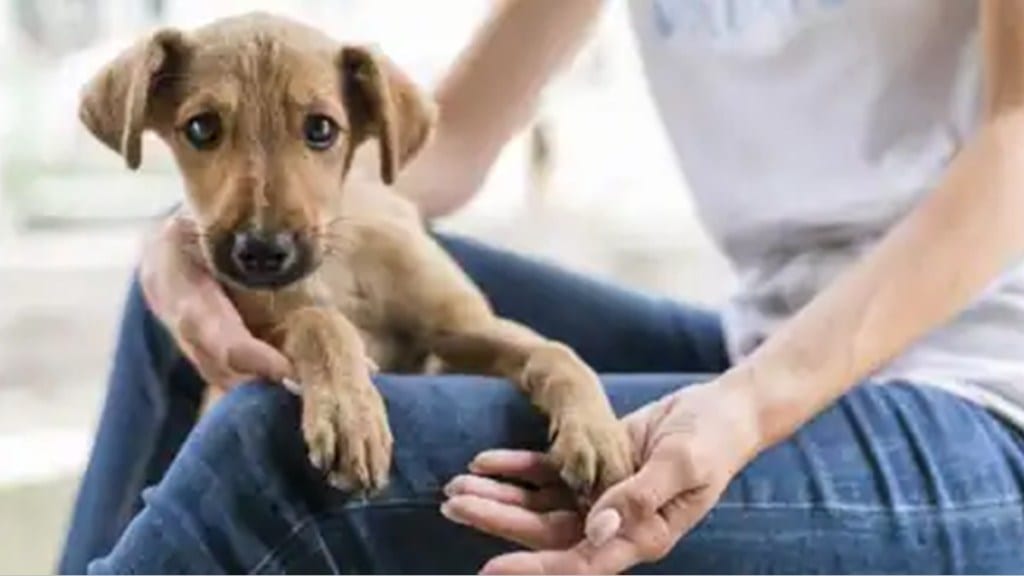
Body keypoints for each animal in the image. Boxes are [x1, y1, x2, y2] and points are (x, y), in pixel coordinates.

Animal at [81, 13, 630, 498]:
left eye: (321, 129)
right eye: (201, 129)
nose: (261, 251)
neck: (336, 266)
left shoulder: (463, 329)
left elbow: (556, 351)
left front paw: (598, 431)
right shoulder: (255, 340)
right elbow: (319, 322)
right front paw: (350, 414)